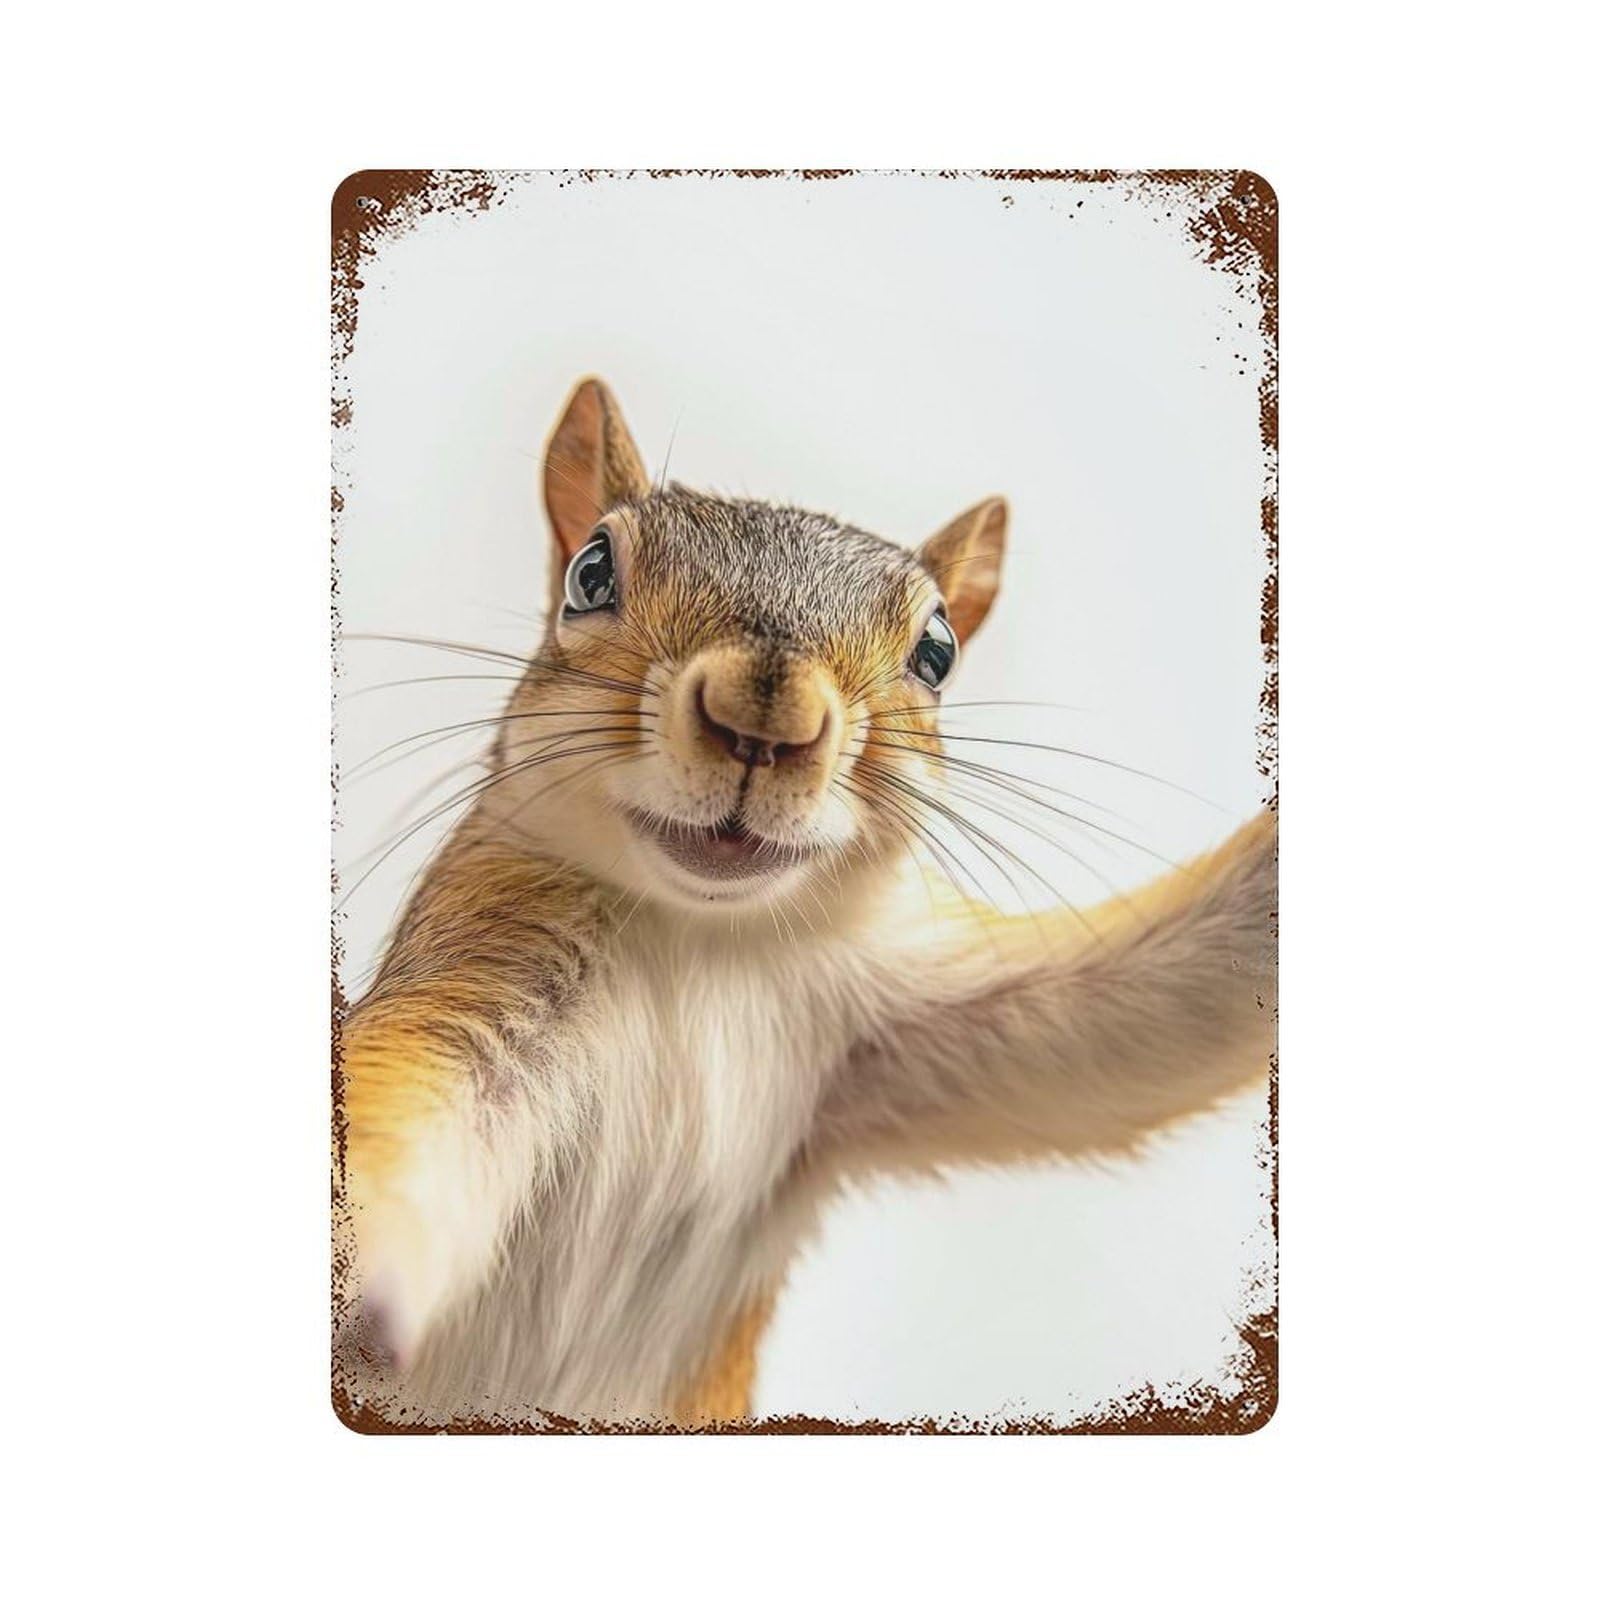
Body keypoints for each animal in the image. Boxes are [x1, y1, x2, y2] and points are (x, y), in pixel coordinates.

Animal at [335, 376, 1278, 1428]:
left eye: (939, 651)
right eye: (590, 573)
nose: (766, 721)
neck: (699, 936)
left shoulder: (895, 1026)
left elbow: (1159, 1008)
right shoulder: (482, 949)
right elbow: (399, 1100)